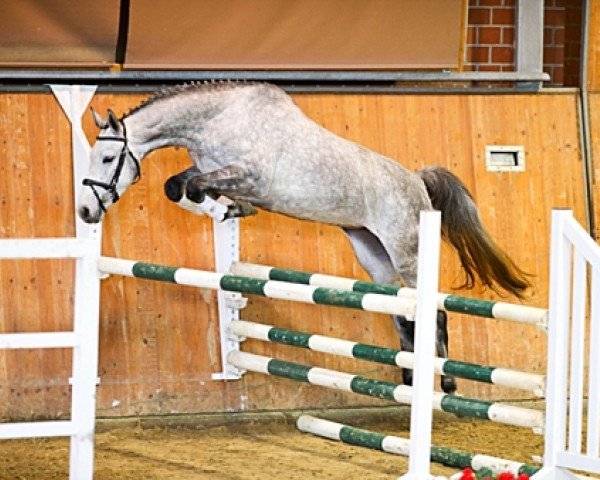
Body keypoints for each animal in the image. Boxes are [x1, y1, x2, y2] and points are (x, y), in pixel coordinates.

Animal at [76, 80, 528, 394]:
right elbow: (179, 185)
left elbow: (199, 186)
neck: (217, 119)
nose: (85, 212)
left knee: (433, 312)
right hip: (373, 254)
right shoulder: (211, 168)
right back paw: (407, 379)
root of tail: (417, 181)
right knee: (402, 315)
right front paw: (223, 208)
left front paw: (227, 207)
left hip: (407, 253)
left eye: (107, 157)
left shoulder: (250, 175)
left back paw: (447, 383)